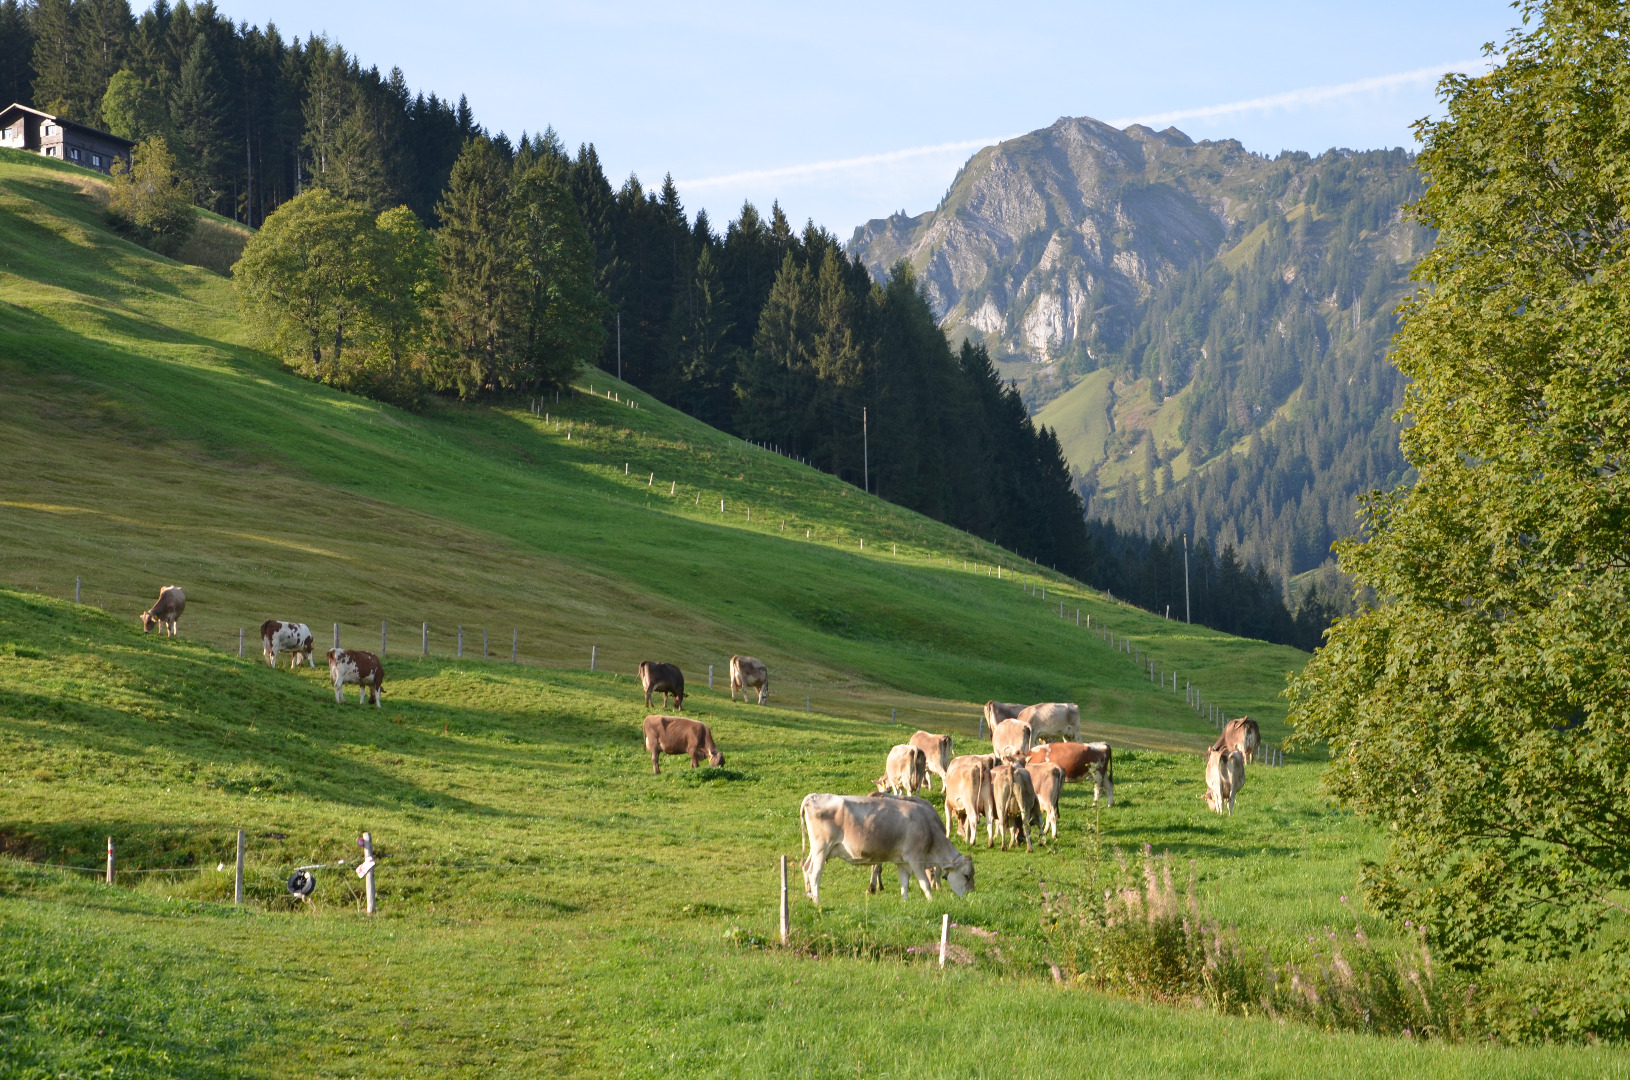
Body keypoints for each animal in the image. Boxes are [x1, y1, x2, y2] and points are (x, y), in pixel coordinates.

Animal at [800, 793, 974, 904]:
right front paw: (931, 901)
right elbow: (924, 883)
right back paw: (817, 901)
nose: (970, 895)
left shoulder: (902, 861)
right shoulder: (915, 858)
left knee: (806, 868)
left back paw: (809, 897)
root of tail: (814, 796)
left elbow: (904, 883)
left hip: (817, 850)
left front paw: (905, 902)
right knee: (814, 873)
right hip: (821, 848)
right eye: (966, 875)